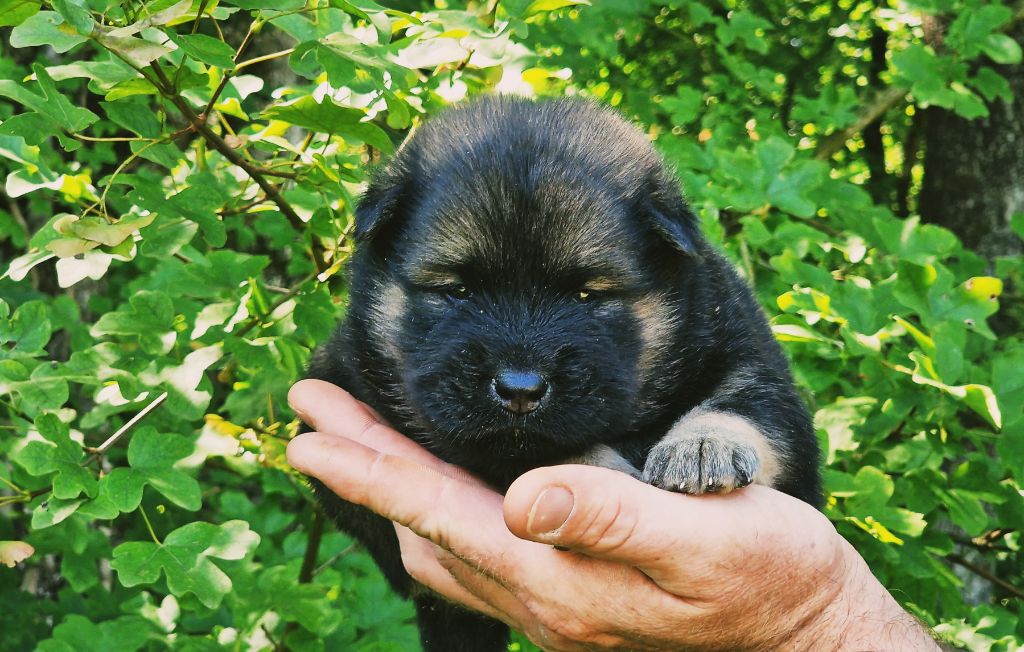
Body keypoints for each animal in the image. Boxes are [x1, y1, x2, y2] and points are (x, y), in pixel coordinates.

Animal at [303, 94, 823, 646]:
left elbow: (749, 405)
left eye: (586, 295)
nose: (520, 389)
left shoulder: (746, 349)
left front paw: (704, 445)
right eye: (455, 290)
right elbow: (524, 451)